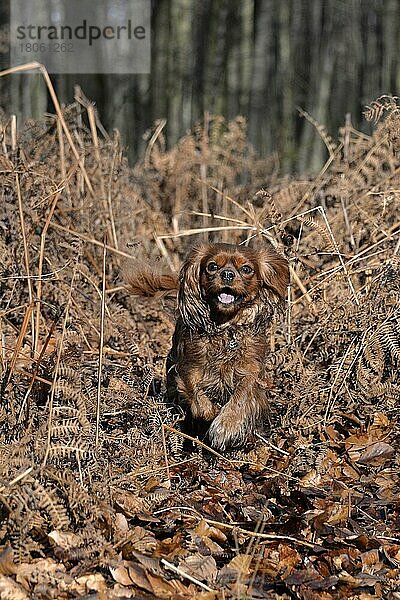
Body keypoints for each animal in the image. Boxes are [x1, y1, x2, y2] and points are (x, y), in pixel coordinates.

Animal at [126, 241, 290, 448]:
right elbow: (198, 399)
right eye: (212, 266)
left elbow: (242, 395)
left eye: (246, 269)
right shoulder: (187, 369)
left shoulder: (251, 370)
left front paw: (226, 426)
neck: (225, 328)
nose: (227, 274)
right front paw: (212, 412)